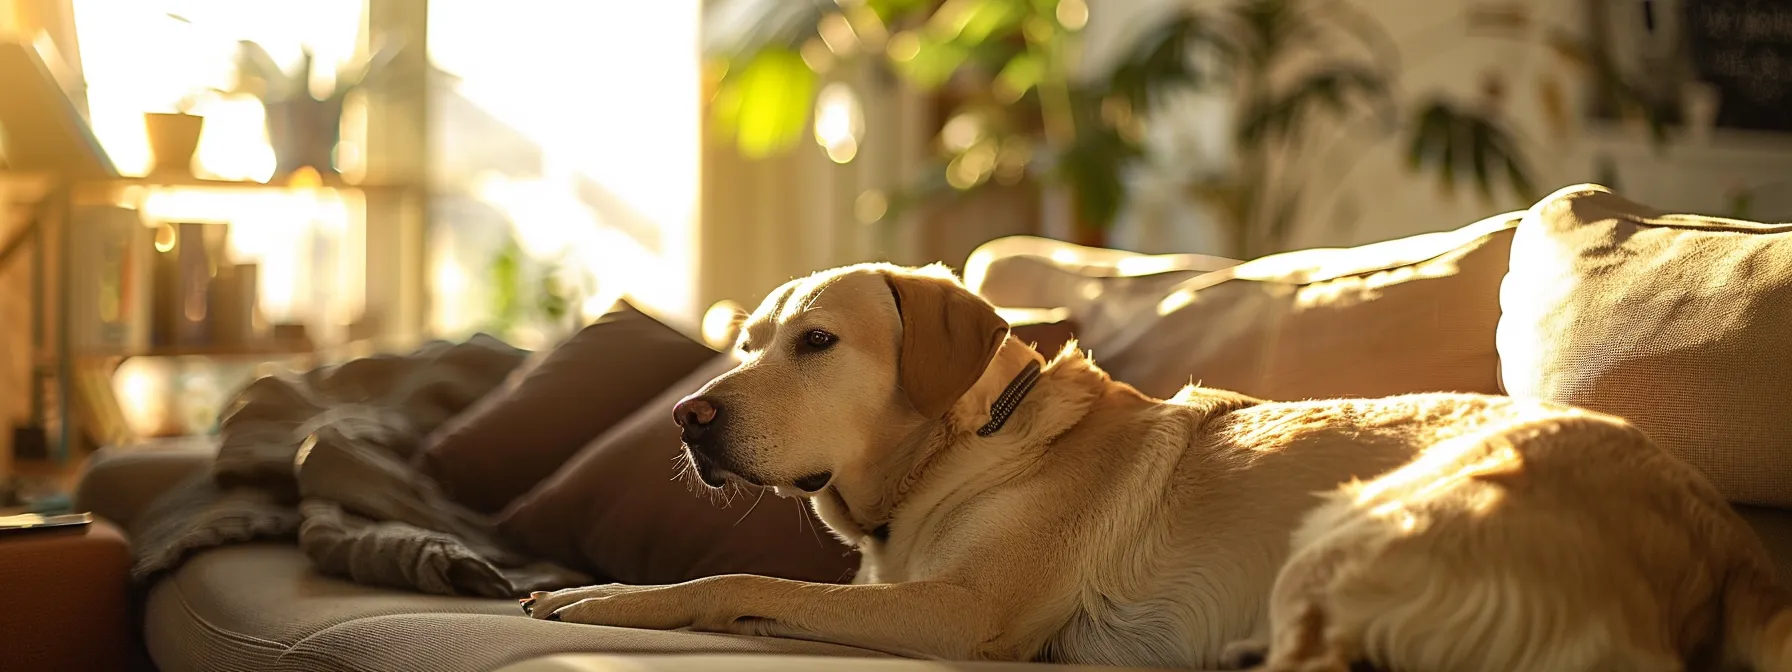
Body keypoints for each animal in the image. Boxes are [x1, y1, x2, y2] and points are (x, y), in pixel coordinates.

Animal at [523, 263, 1792, 672]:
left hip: (1354, 519)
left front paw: (603, 600)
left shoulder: (963, 618)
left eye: (817, 343)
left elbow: (738, 583)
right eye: (744, 340)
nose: (686, 417)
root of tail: (1724, 546)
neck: (969, 446)